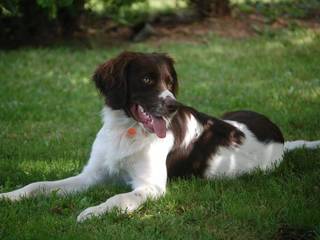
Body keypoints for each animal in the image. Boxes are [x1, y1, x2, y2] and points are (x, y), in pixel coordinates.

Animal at [0, 51, 320, 222]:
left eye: (169, 81)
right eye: (146, 79)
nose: (172, 105)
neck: (127, 129)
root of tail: (280, 138)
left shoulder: (151, 186)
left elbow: (118, 198)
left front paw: (91, 212)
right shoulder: (92, 175)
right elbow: (40, 184)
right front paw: (9, 196)